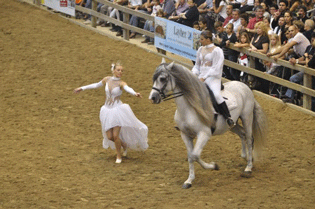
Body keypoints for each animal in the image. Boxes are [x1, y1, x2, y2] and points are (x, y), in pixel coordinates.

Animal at [149, 60, 268, 189]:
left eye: (162, 79)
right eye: (154, 78)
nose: (153, 97)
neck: (189, 108)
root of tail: (245, 86)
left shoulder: (204, 134)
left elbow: (195, 155)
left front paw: (214, 166)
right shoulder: (185, 135)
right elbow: (190, 156)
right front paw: (189, 180)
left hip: (247, 118)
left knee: (250, 139)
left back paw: (248, 168)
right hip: (232, 124)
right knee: (243, 134)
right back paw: (246, 157)